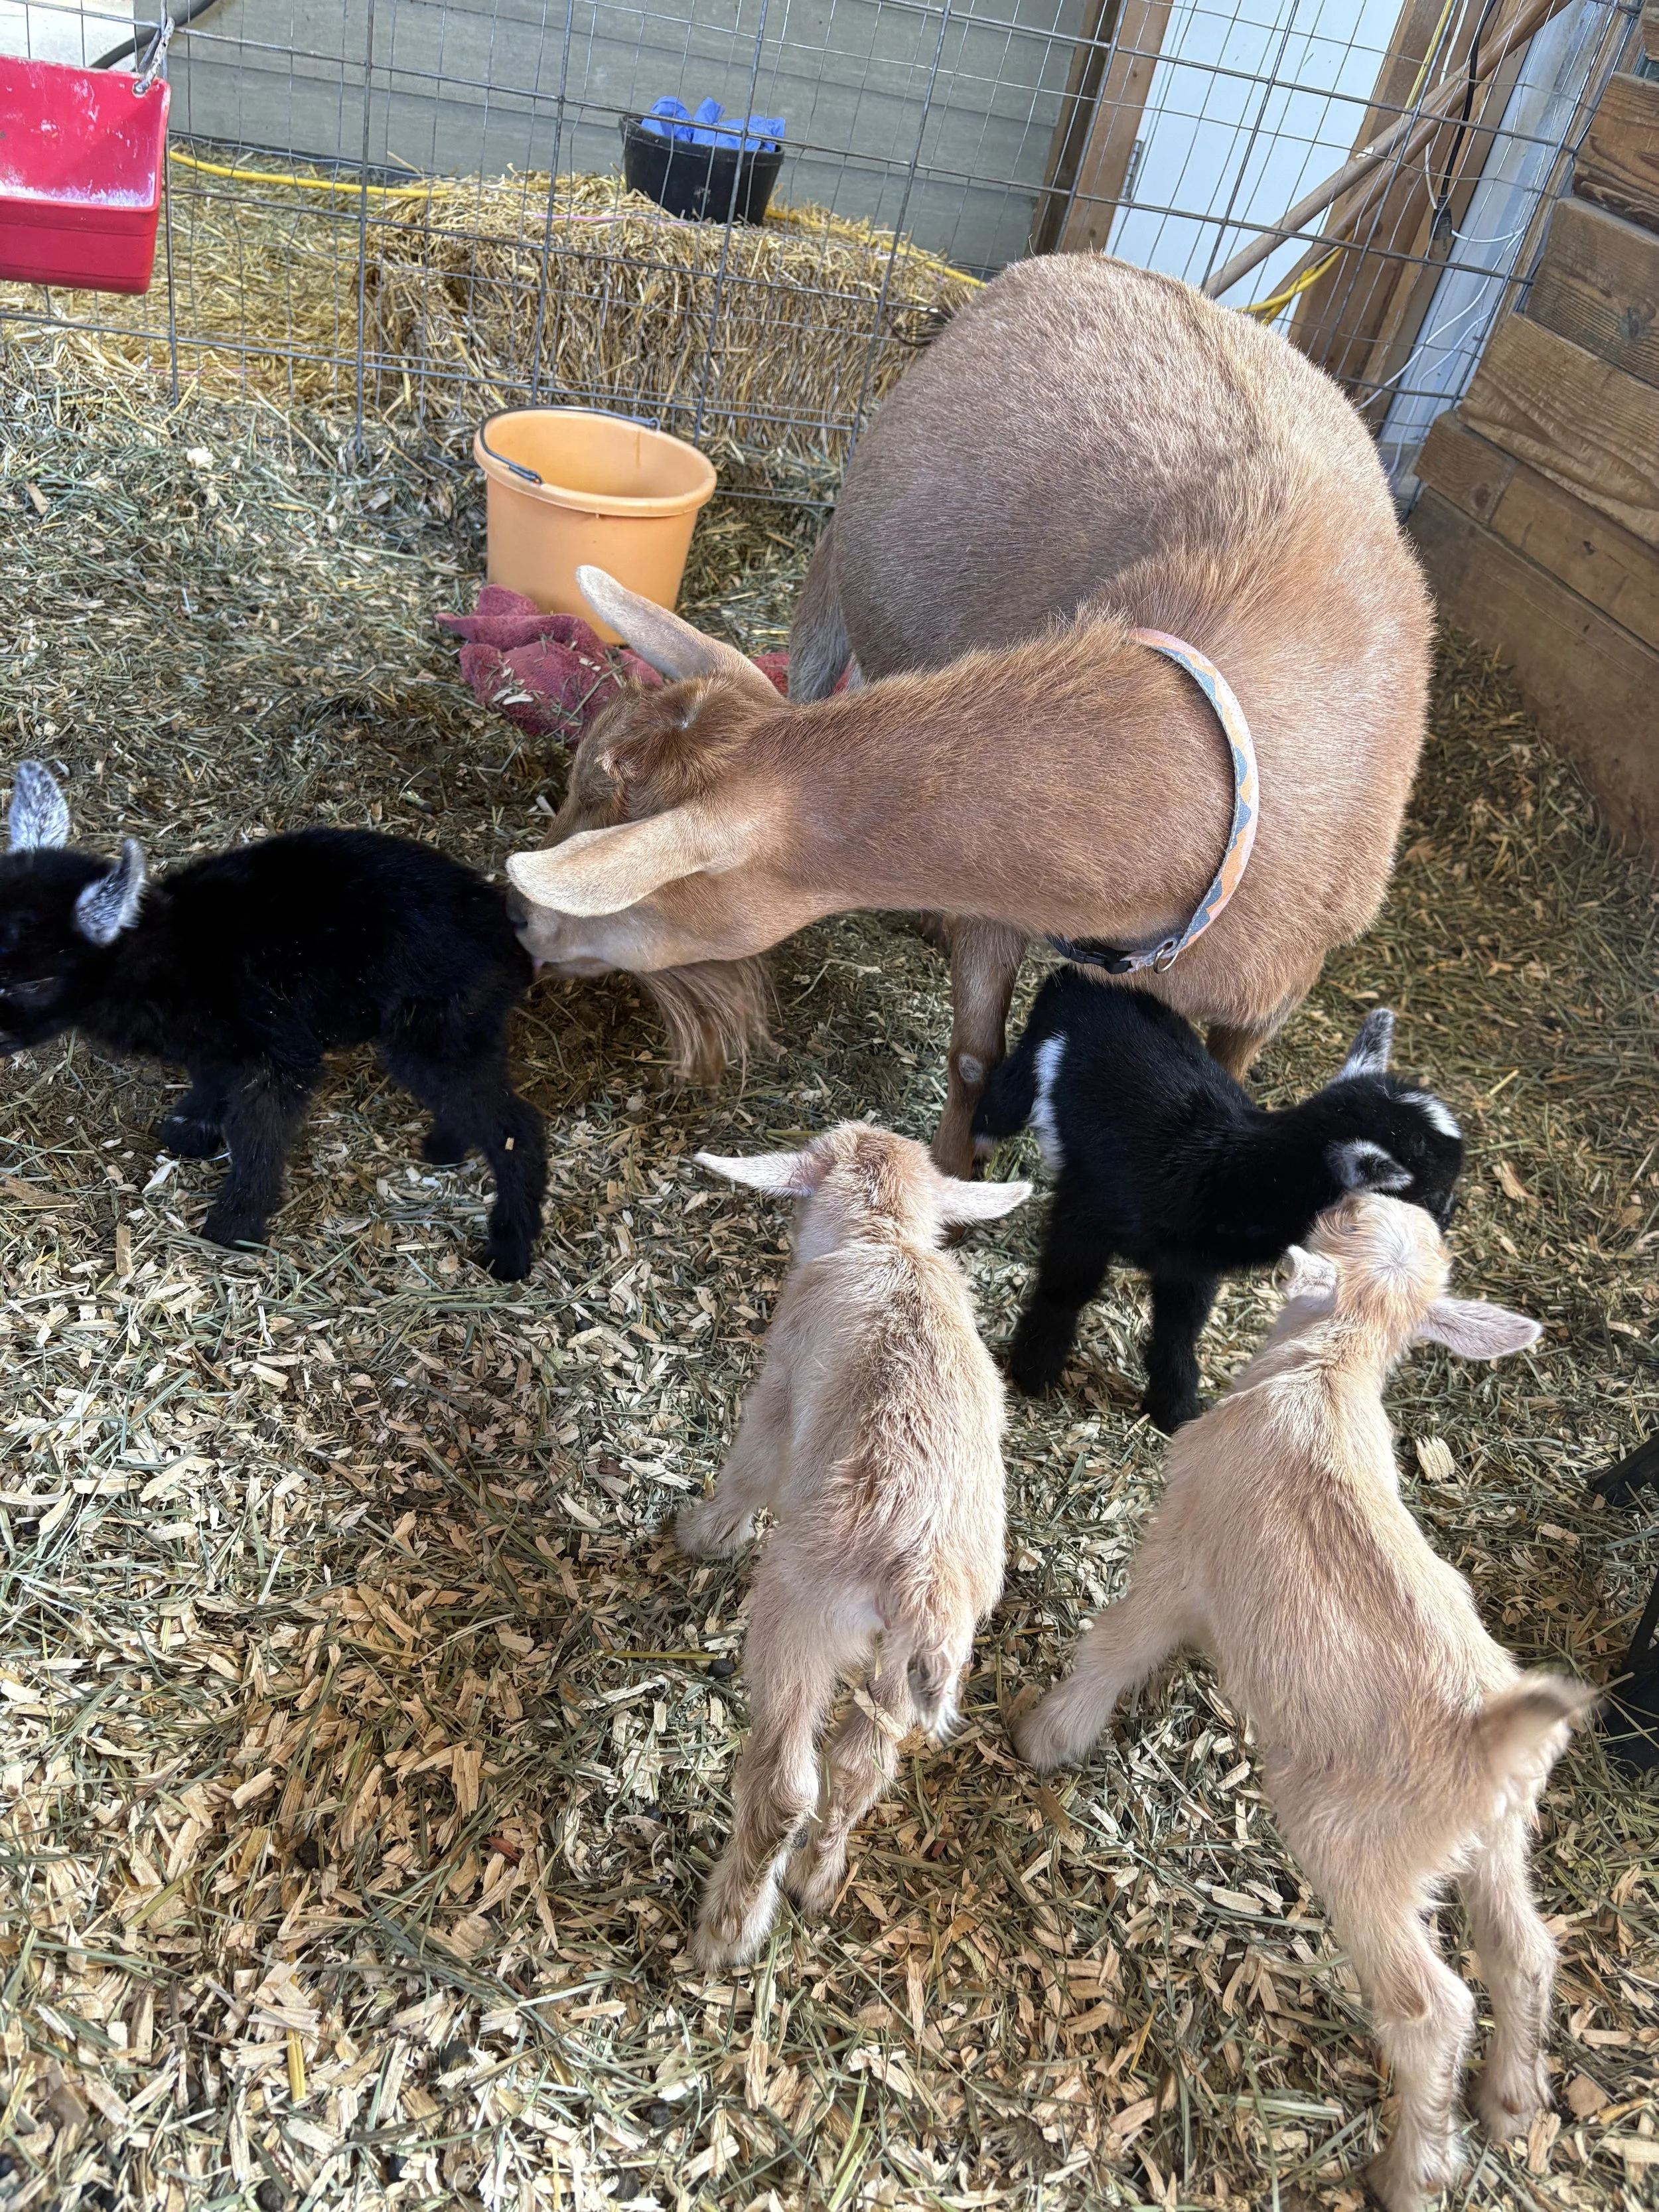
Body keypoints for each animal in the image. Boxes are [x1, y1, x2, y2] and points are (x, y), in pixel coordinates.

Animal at [0, 762, 546, 1278]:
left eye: (32, 983)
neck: (172, 955)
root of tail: (510, 940)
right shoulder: (216, 1045)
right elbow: (209, 1082)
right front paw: (190, 1128)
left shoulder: (276, 1054)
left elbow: (259, 1135)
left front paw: (234, 1225)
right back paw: (444, 1147)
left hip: (438, 1030)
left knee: (516, 1124)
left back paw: (509, 1248)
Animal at [505, 255, 1431, 1176]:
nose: (511, 917)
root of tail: (1079, 264)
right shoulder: (1003, 901)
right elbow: (974, 1059)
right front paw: (953, 1179)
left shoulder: (1272, 992)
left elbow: (1231, 1081)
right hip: (836, 554)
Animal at [679, 1121, 1027, 1968]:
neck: (885, 1237)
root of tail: (925, 1578)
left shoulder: (776, 1392)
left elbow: (748, 1471)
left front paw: (703, 1536)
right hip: (906, 1662)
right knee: (861, 1765)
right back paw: (816, 1876)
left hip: (799, 1617)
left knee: (786, 1782)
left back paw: (727, 1930)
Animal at [973, 976, 1463, 1428]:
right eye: (1433, 1195)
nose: (1450, 1221)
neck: (1224, 1172)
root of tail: (1078, 978)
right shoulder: (1086, 1212)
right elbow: (1066, 1288)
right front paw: (1034, 1368)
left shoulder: (1190, 1264)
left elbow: (1180, 1327)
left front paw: (1174, 1406)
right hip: (1032, 1062)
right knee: (992, 1112)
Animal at [1013, 1193, 1591, 2212]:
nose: (1346, 1197)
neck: (1327, 1369)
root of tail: (1495, 1740)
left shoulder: (1178, 1552)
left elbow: (1117, 1643)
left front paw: (1048, 1735)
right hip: (1497, 1839)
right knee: (1522, 1949)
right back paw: (1512, 2100)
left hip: (1354, 1852)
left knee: (1433, 2008)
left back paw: (1411, 2170)